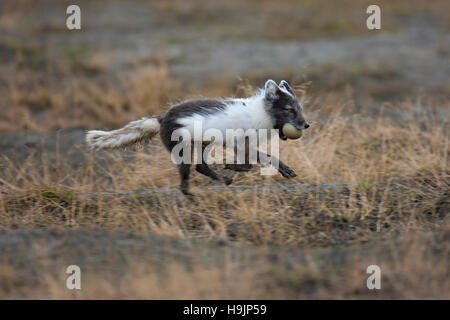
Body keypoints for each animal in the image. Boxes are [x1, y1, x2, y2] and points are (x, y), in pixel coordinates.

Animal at [85, 80, 310, 195]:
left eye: (299, 109)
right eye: (289, 110)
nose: (306, 125)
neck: (260, 113)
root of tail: (163, 117)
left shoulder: (242, 144)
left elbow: (249, 162)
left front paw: (232, 166)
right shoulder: (239, 142)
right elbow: (263, 158)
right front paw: (285, 169)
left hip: (202, 143)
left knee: (201, 166)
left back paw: (224, 179)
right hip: (181, 148)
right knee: (186, 176)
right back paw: (190, 194)